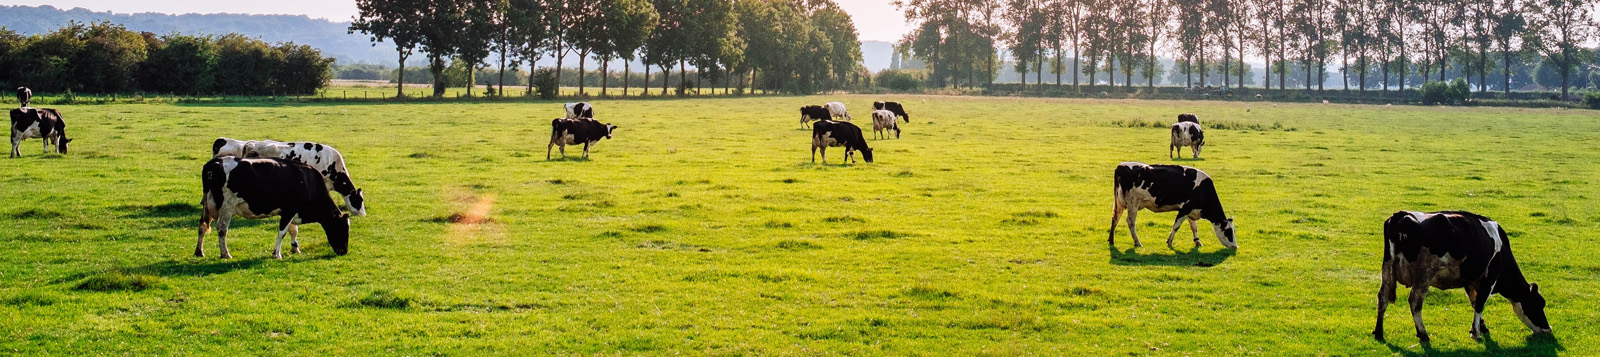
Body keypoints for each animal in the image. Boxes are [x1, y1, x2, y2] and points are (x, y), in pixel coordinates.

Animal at [196, 157, 350, 257]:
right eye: (342, 228)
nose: (344, 251)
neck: (308, 182)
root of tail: (214, 162)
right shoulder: (289, 210)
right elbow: (282, 232)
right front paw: (277, 254)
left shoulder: (291, 212)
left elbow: (293, 230)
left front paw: (295, 249)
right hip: (227, 206)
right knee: (222, 229)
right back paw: (225, 254)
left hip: (206, 204)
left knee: (202, 225)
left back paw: (199, 252)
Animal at [1376, 211, 1548, 340]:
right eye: (1539, 304)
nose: (1548, 329)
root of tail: (1401, 215)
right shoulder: (1490, 278)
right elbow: (1480, 303)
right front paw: (1476, 333)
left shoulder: (1470, 280)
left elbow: (1474, 301)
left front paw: (1480, 327)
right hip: (1424, 274)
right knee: (1415, 301)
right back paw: (1423, 334)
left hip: (1387, 269)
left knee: (1383, 297)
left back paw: (1379, 333)